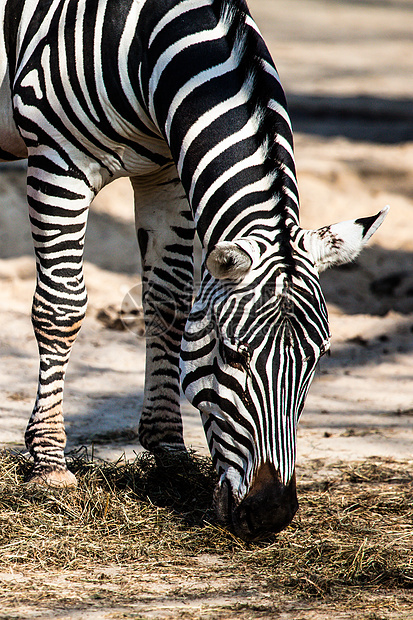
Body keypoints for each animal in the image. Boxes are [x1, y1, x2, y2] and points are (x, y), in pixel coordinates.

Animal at [0, 0, 386, 540]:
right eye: (233, 354)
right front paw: (49, 464)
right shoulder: (59, 162)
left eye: (318, 360)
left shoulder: (166, 172)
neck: (146, 42)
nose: (271, 514)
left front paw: (169, 450)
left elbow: (168, 303)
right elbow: (62, 307)